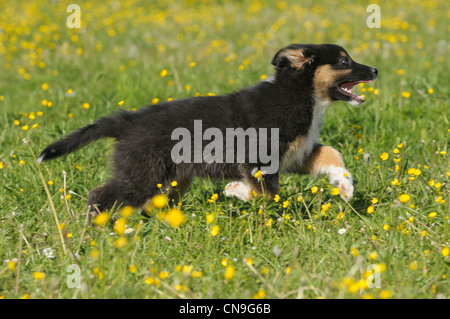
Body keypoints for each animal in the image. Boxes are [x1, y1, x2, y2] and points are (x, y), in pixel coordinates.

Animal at [37, 43, 376, 214]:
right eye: (344, 61)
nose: (374, 70)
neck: (298, 95)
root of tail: (127, 120)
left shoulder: (296, 153)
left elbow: (332, 154)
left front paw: (345, 187)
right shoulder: (259, 158)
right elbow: (267, 194)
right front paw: (235, 190)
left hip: (171, 178)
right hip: (143, 172)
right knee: (101, 194)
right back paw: (99, 231)